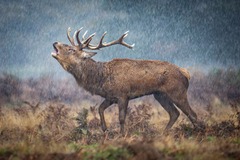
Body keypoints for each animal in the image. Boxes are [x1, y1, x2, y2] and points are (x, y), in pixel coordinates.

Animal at [51, 27, 202, 135]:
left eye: (70, 49)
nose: (55, 42)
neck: (101, 79)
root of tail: (185, 73)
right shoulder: (110, 96)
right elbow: (100, 108)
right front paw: (105, 129)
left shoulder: (123, 94)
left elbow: (122, 117)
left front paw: (122, 135)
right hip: (160, 95)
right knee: (174, 113)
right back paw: (163, 134)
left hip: (177, 92)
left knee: (192, 114)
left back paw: (199, 133)